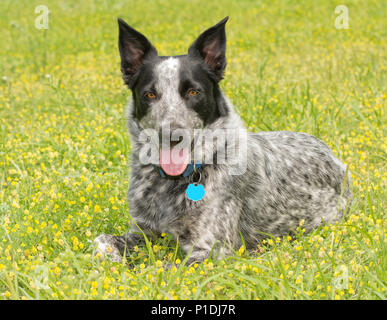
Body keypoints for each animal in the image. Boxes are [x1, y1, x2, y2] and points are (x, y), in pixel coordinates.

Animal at [94, 16, 352, 264]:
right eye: (149, 94)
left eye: (193, 92)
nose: (171, 135)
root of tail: (331, 153)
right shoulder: (142, 232)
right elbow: (101, 241)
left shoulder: (212, 249)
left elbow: (167, 268)